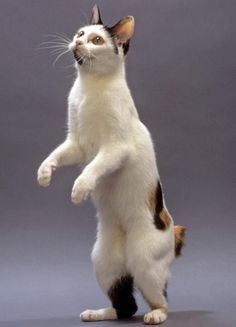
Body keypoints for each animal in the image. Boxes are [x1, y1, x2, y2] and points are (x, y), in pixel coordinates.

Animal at [37, 5, 185, 326]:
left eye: (96, 40)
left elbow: (93, 168)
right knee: (126, 304)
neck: (88, 89)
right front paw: (44, 173)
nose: (78, 42)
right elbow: (57, 154)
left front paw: (80, 189)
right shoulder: (77, 144)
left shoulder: (115, 149)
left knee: (160, 298)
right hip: (104, 262)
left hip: (146, 264)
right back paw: (97, 313)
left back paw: (156, 315)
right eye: (81, 33)